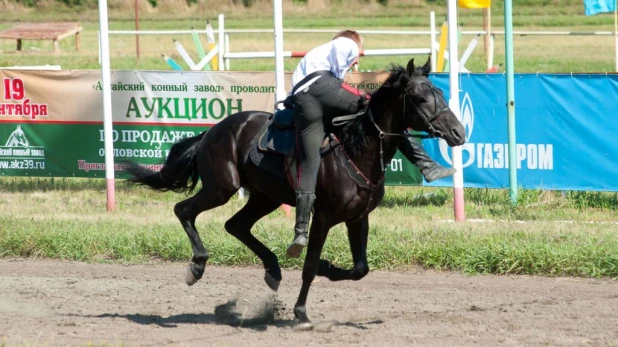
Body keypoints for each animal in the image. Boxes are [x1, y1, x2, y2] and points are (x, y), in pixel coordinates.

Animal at [124, 57, 462, 324]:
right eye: (419, 98)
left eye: (441, 93)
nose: (457, 132)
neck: (356, 150)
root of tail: (212, 131)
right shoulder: (323, 217)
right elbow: (310, 264)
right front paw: (301, 311)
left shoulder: (358, 218)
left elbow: (360, 268)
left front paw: (329, 267)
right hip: (222, 188)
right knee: (184, 210)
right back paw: (197, 265)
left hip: (265, 197)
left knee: (235, 225)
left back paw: (272, 270)